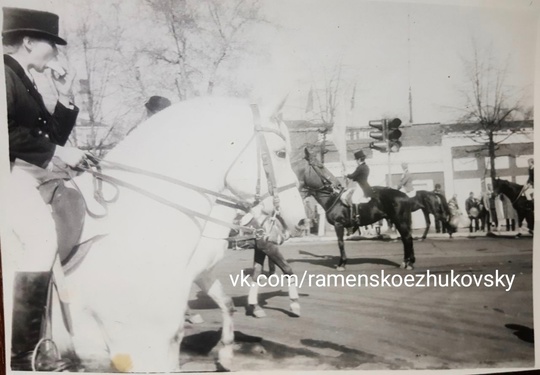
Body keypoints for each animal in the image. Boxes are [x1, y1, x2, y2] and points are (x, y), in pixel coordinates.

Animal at [47, 97, 306, 374]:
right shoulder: (141, 346)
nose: (301, 221)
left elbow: (227, 302)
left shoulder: (202, 274)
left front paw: (226, 353)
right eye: (281, 153)